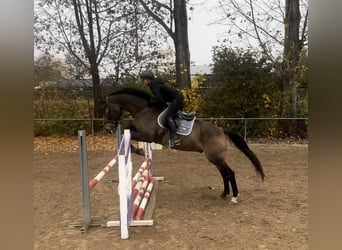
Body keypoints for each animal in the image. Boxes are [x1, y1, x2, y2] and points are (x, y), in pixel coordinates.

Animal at [104, 87, 264, 202]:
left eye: (108, 109)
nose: (108, 128)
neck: (143, 110)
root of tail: (221, 131)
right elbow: (129, 130)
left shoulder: (148, 136)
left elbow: (129, 134)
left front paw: (138, 150)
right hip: (216, 158)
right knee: (224, 173)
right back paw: (224, 194)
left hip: (216, 157)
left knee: (229, 173)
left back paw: (234, 196)